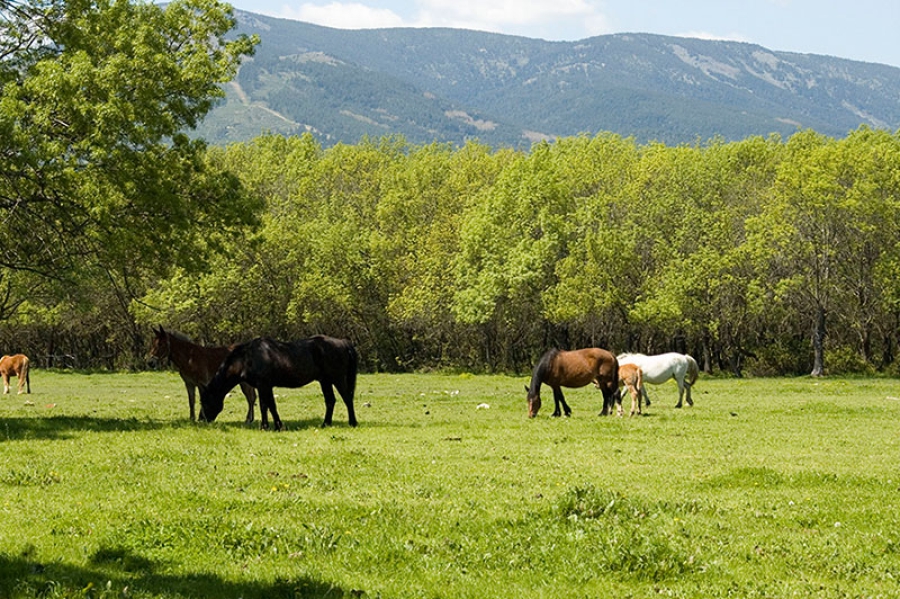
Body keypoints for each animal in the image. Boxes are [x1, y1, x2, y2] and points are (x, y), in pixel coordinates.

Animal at [200, 338, 358, 432]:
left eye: (205, 401)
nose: (202, 420)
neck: (247, 359)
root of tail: (343, 342)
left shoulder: (264, 384)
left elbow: (270, 405)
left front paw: (275, 426)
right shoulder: (263, 386)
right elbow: (266, 405)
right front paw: (268, 426)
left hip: (337, 379)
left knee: (347, 398)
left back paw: (353, 422)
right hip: (325, 381)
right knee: (330, 401)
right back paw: (325, 424)